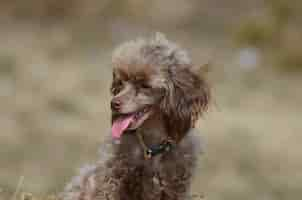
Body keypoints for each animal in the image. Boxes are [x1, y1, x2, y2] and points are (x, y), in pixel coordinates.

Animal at [62, 33, 210, 200]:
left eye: (145, 85)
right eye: (121, 82)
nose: (113, 104)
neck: (151, 146)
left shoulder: (175, 186)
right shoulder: (112, 179)